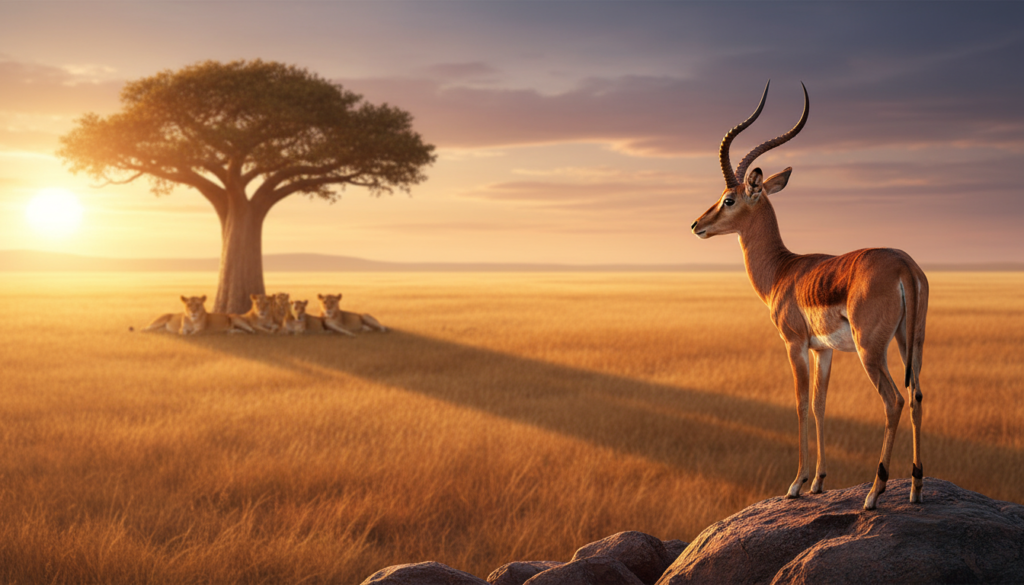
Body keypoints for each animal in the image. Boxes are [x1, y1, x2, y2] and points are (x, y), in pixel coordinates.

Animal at [690, 82, 929, 510]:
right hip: (910, 341)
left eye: (729, 198)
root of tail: (903, 264)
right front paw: (818, 481)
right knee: (916, 394)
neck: (783, 271)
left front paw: (797, 483)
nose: (697, 224)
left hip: (871, 349)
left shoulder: (795, 344)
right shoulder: (824, 350)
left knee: (894, 400)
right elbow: (820, 405)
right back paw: (916, 488)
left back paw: (875, 492)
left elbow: (801, 404)